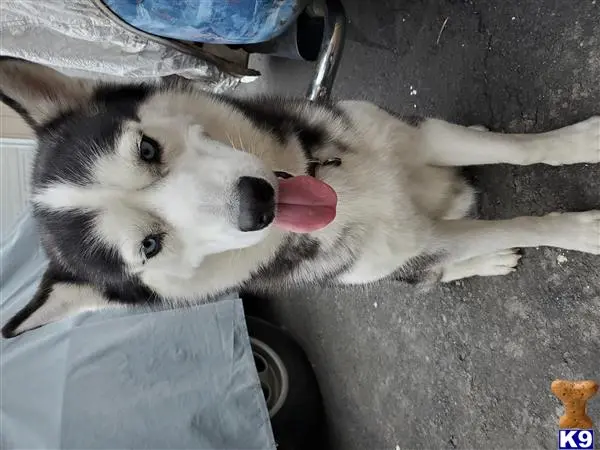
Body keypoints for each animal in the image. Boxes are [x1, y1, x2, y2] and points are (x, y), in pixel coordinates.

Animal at [1, 57, 600, 338]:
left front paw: (583, 140)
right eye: (150, 246)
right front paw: (582, 231)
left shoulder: (418, 137)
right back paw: (485, 260)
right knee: (431, 270)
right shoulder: (416, 241)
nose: (257, 203)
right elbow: (523, 225)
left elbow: (525, 150)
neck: (345, 191)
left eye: (147, 149)